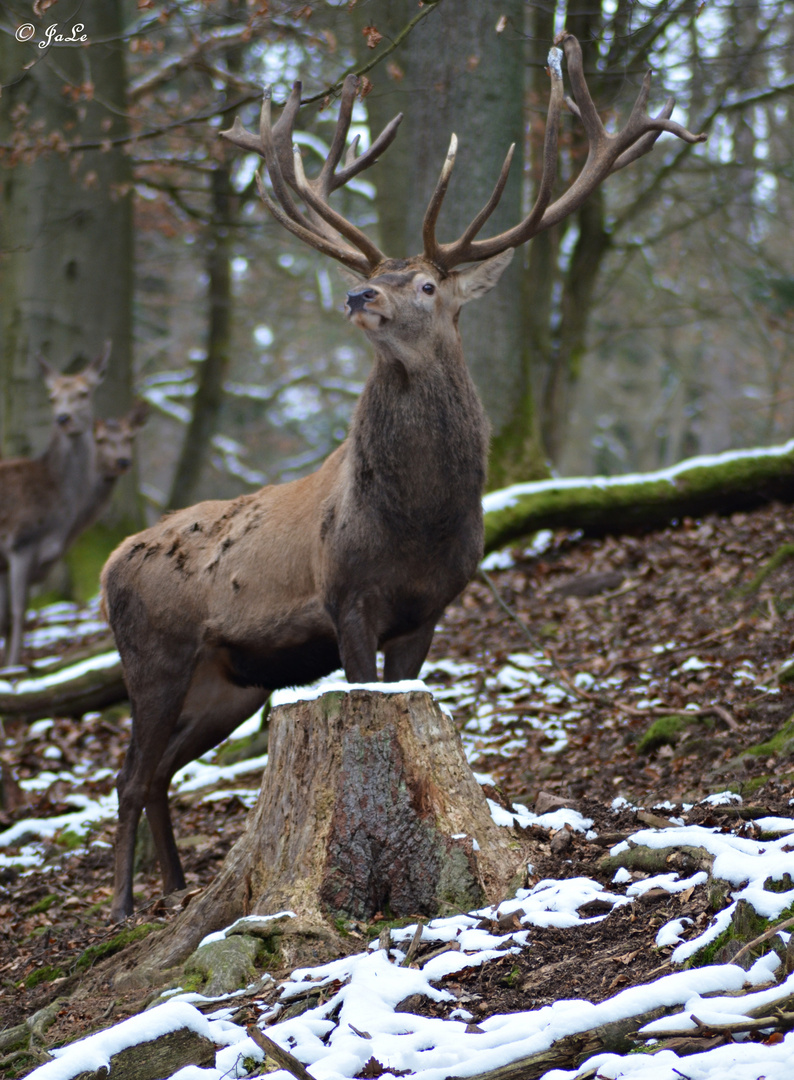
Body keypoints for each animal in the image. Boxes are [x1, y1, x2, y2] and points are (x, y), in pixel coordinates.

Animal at [0, 345, 109, 665]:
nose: (63, 418)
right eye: (51, 397)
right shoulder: (20, 541)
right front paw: (13, 664)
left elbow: (8, 615)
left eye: (84, 393)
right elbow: (17, 611)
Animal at [102, 33, 704, 920]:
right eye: (379, 277)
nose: (360, 294)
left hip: (228, 682)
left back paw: (176, 890)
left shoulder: (432, 606)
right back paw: (125, 906)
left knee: (158, 772)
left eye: (424, 283)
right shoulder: (346, 595)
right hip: (156, 654)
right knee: (130, 773)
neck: (417, 523)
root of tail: (108, 564)